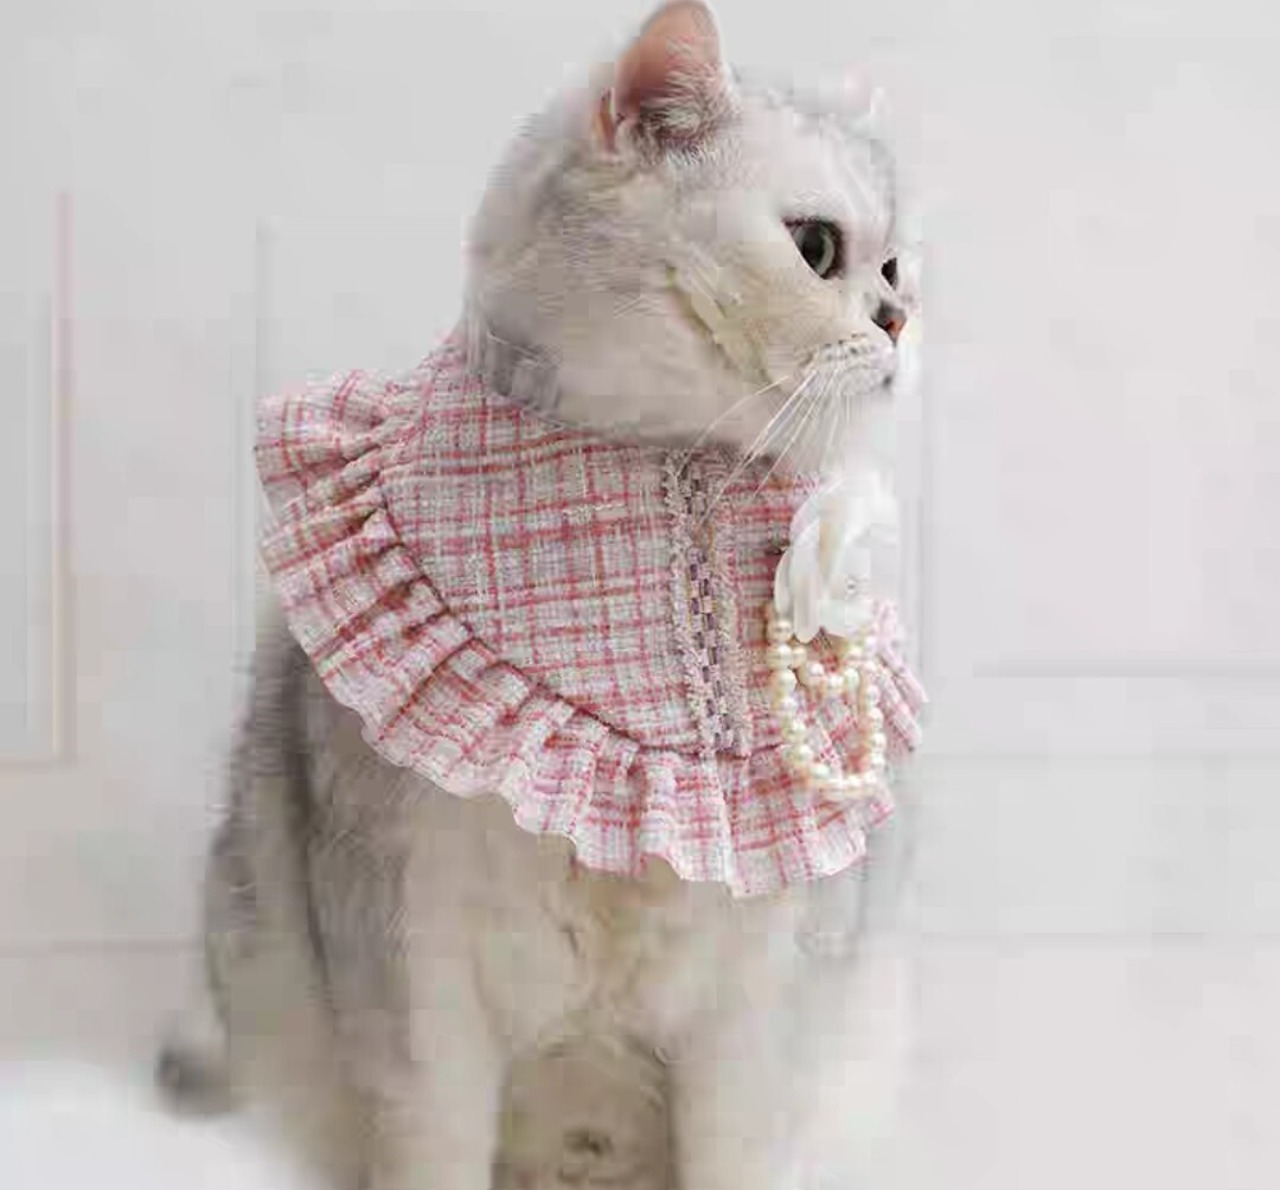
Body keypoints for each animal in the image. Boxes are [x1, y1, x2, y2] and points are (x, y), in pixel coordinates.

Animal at [160, 4, 921, 1189]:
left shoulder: (764, 1004)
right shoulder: (412, 972)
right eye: (817, 248)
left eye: (898, 263)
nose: (900, 317)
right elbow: (431, 1138)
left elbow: (742, 1144)